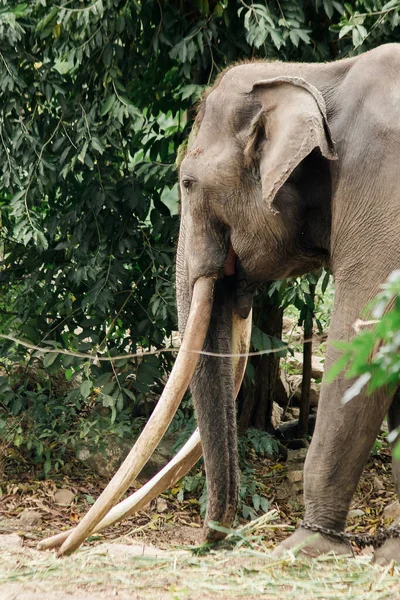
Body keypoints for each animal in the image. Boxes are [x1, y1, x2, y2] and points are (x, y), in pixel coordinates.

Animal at [177, 43, 400, 564]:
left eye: (187, 183)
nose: (204, 541)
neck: (318, 75)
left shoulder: (380, 187)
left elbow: (365, 335)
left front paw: (305, 546)